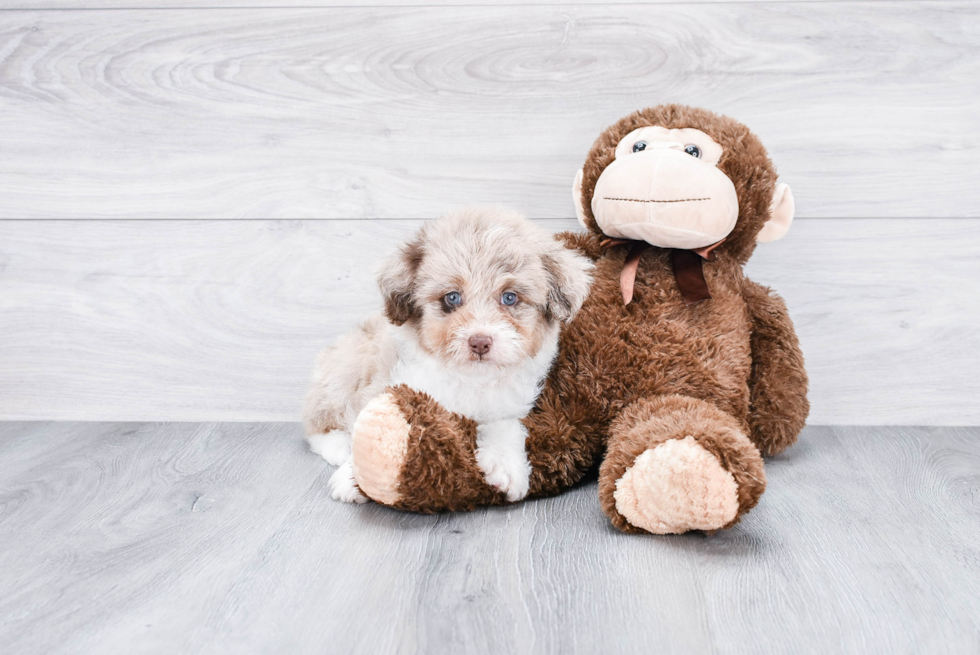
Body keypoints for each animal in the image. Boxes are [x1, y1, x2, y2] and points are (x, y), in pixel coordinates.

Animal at [302, 208, 592, 504]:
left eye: (509, 298)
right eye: (452, 297)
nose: (479, 342)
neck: (472, 379)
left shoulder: (513, 407)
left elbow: (506, 426)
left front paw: (505, 465)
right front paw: (354, 476)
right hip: (345, 369)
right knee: (318, 423)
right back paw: (339, 446)